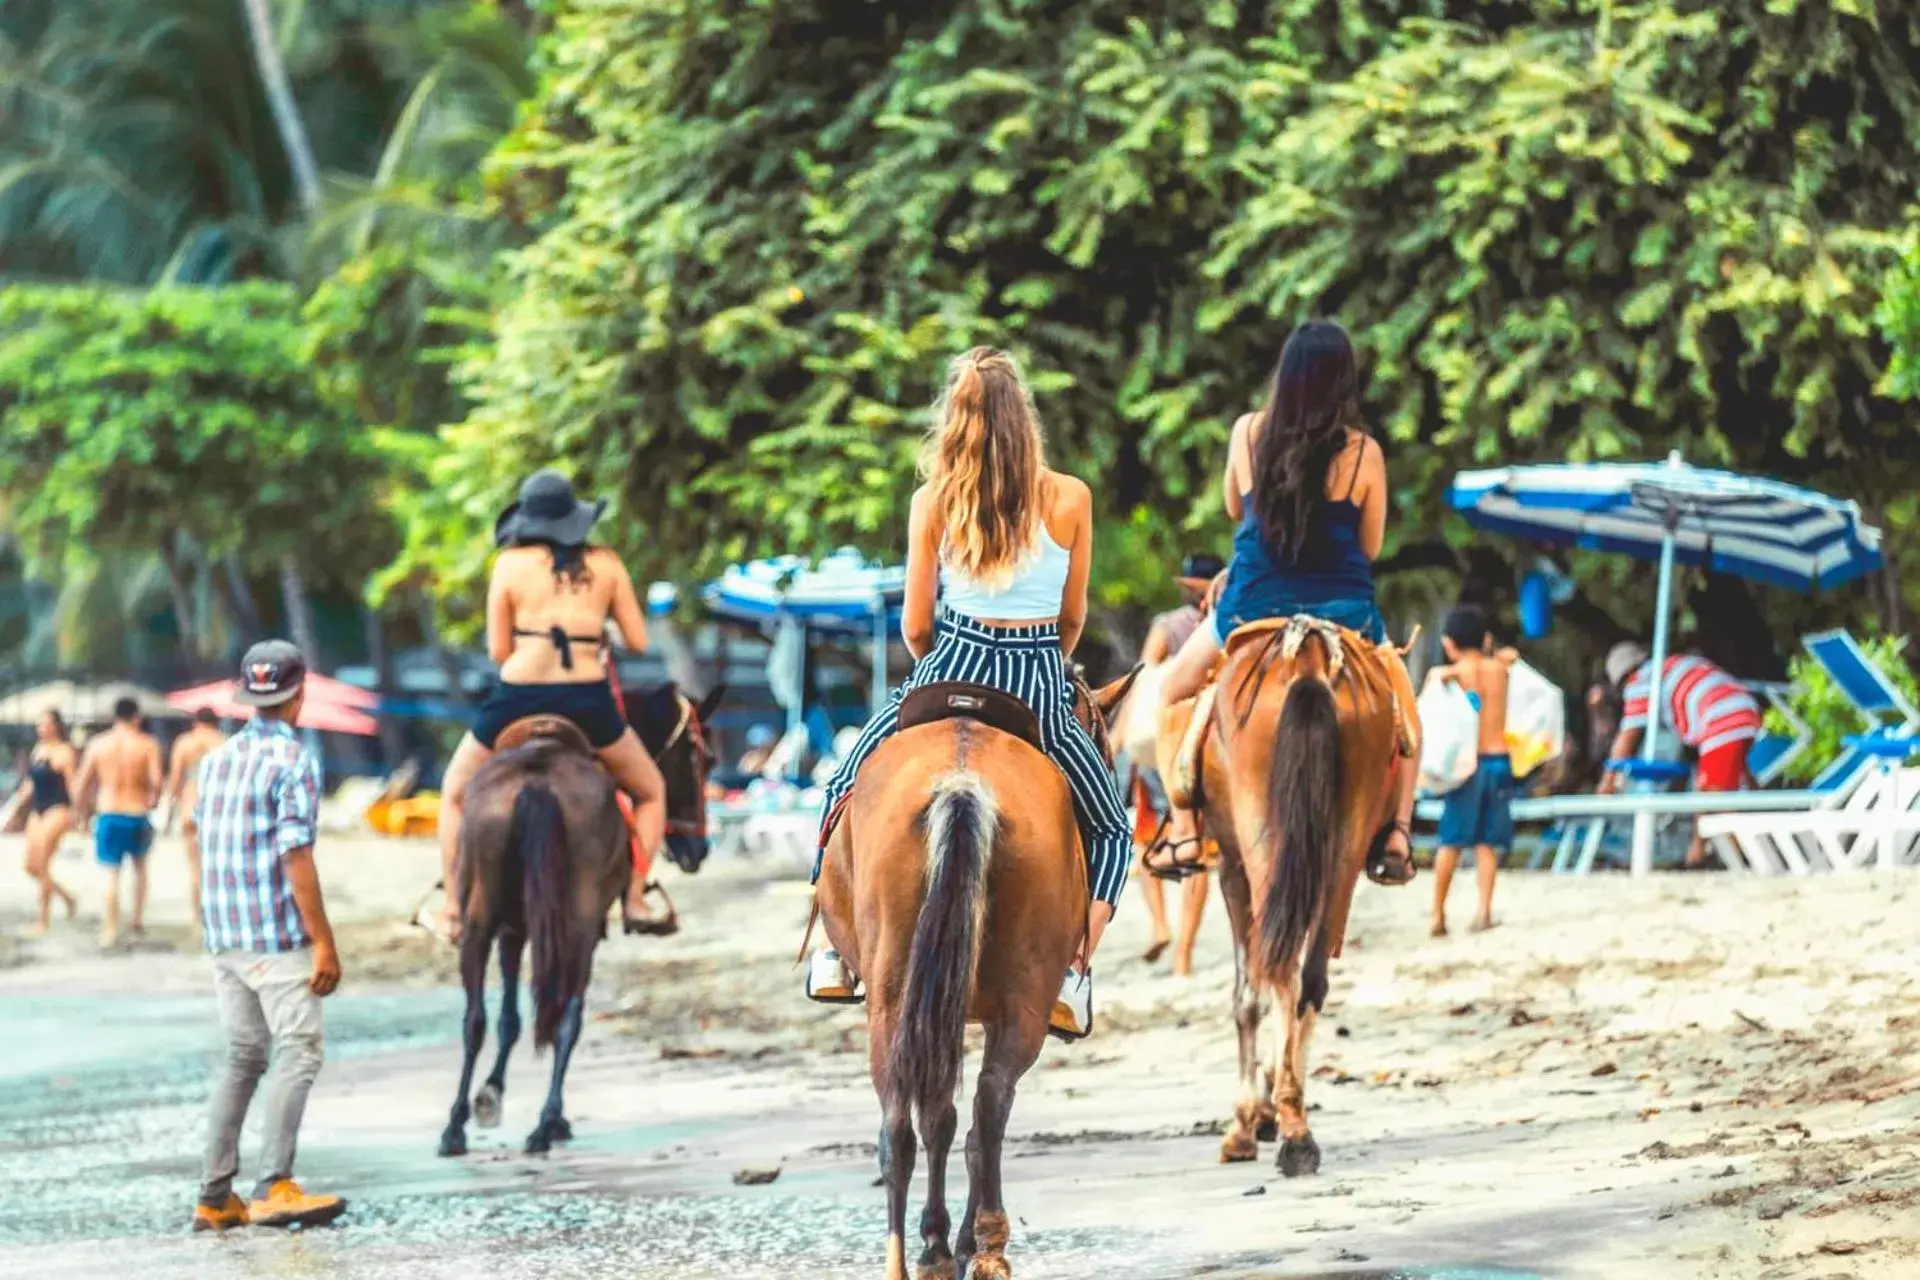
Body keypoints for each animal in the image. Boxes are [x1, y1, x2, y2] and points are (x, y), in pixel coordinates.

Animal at [435, 687, 721, 1159]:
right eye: (703, 758)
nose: (697, 849)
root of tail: (536, 781)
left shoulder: (514, 930)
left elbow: (509, 1019)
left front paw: (490, 1094)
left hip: (480, 917)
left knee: (473, 1018)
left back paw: (454, 1127)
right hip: (580, 926)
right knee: (567, 1019)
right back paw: (547, 1123)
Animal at [814, 671, 1136, 1280]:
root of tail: (962, 782)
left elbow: (938, 1120)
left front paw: (940, 1243)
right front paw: (950, 1243)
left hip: (897, 1000)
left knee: (908, 1124)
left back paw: (931, 1253)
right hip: (1011, 1002)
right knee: (986, 1106)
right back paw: (983, 1244)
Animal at [1159, 614, 1420, 1174]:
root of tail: (1309, 654)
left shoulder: (1231, 869)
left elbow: (1246, 994)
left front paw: (1248, 1120)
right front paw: (1269, 1110)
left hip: (1261, 842)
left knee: (1276, 971)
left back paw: (1281, 1126)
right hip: (1342, 850)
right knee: (1310, 980)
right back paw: (1296, 1122)